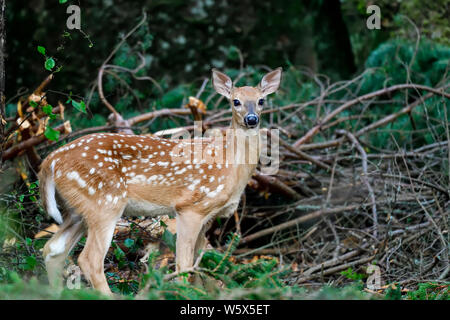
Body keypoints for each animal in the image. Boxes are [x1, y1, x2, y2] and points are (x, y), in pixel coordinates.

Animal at [40, 68, 284, 296]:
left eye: (261, 100)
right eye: (236, 101)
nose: (251, 119)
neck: (230, 167)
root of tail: (51, 160)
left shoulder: (208, 216)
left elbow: (198, 263)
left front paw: (202, 292)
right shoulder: (190, 207)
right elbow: (184, 265)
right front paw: (185, 293)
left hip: (77, 209)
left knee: (52, 249)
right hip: (104, 203)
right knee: (89, 259)